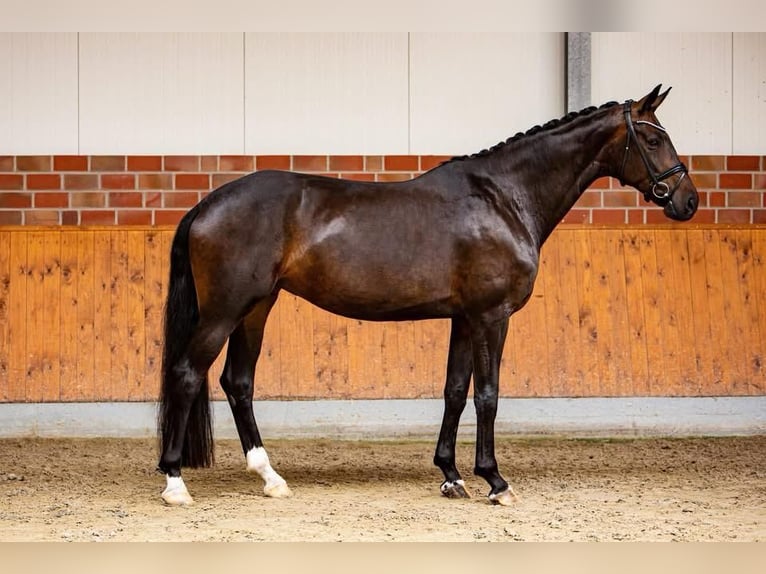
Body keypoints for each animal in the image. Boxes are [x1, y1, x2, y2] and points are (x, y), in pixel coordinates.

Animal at [157, 85, 698, 506]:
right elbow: (487, 395)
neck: (503, 198)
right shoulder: (492, 316)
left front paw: (452, 476)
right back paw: (175, 482)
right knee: (187, 374)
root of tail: (206, 204)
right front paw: (495, 480)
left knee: (238, 382)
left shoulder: (464, 317)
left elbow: (455, 391)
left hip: (256, 308)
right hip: (225, 310)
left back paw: (271, 478)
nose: (688, 200)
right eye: (653, 138)